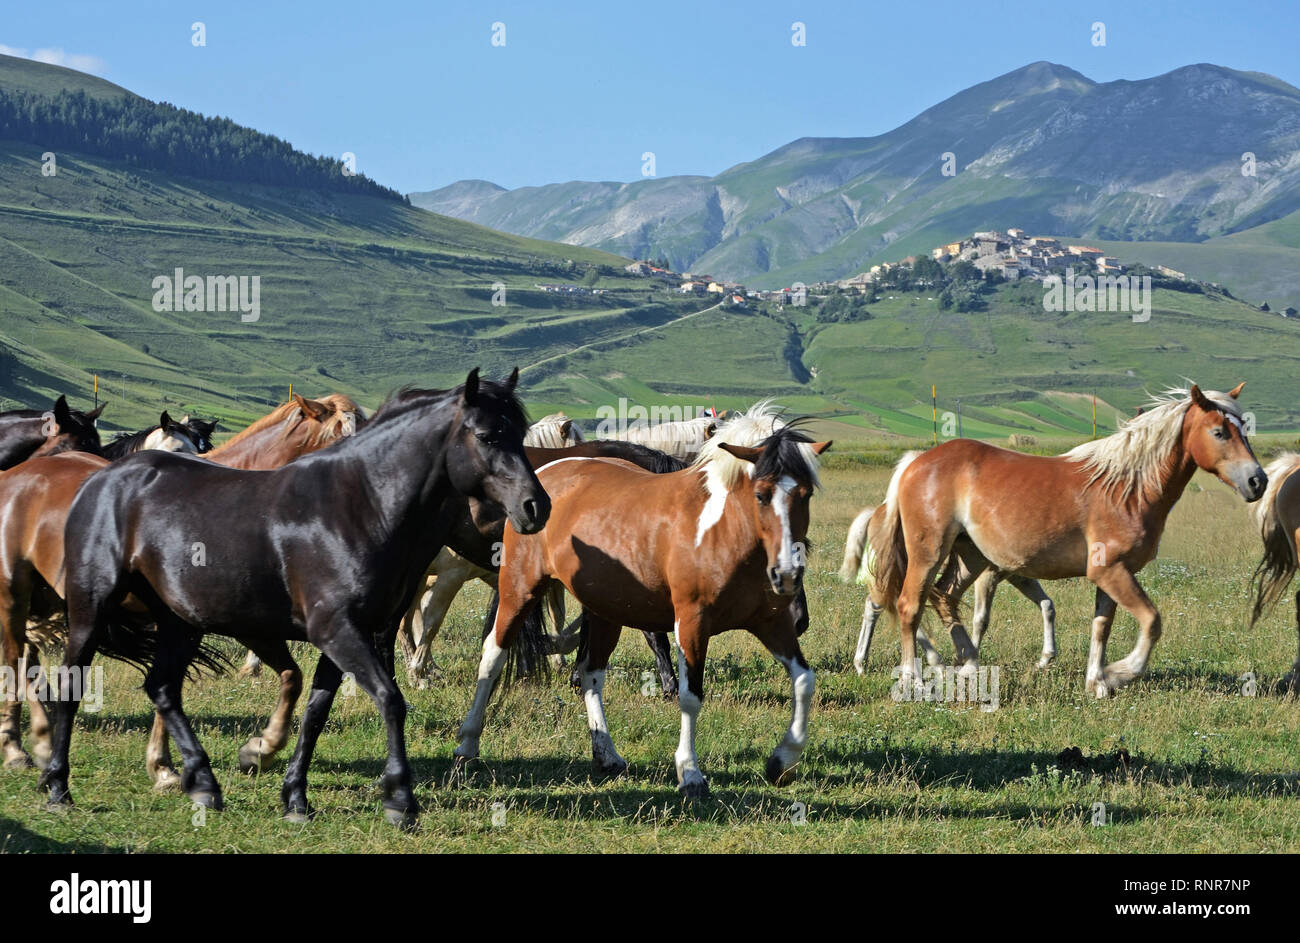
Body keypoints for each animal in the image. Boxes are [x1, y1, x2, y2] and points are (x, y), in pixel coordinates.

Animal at [45, 370, 549, 828]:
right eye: (486, 435)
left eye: (519, 434)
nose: (535, 507)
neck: (359, 506)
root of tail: (100, 480)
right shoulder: (338, 632)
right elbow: (390, 700)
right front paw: (400, 801)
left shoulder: (348, 637)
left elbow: (314, 714)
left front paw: (294, 798)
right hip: (92, 609)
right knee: (73, 684)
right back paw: (57, 787)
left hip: (180, 621)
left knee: (163, 689)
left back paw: (202, 783)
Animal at [454, 422, 830, 797]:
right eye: (761, 495)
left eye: (806, 494)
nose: (786, 575)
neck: (724, 531)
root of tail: (548, 474)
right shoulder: (691, 623)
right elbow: (690, 696)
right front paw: (690, 773)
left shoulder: (770, 623)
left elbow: (804, 681)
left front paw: (783, 761)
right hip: (519, 590)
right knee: (493, 656)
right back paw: (467, 746)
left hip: (604, 610)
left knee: (591, 673)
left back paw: (607, 756)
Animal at [867, 384, 1265, 698]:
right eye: (1219, 432)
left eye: (1244, 429)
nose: (1258, 481)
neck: (1126, 489)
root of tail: (917, 461)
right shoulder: (1111, 572)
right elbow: (1152, 622)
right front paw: (1121, 673)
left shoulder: (1113, 575)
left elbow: (1101, 627)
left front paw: (1097, 682)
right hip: (929, 552)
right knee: (909, 606)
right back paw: (914, 680)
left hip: (971, 557)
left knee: (945, 597)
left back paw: (969, 663)